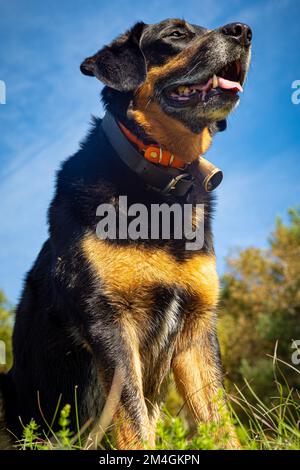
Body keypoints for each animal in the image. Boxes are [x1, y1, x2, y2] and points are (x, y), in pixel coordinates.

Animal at [1, 18, 252, 450]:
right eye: (175, 35)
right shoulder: (110, 322)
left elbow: (220, 423)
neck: (162, 188)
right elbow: (134, 423)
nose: (244, 31)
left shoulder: (197, 329)